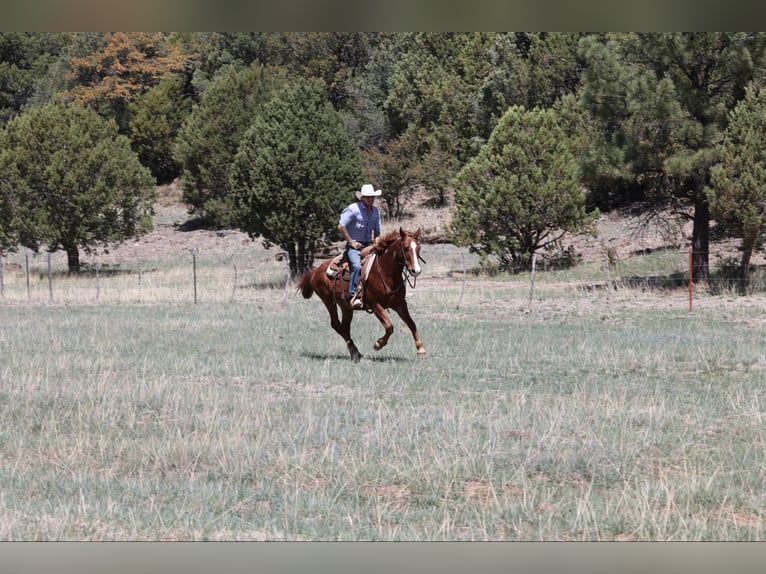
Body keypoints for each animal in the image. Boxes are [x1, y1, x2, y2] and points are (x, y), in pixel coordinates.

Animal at [297, 227, 428, 361]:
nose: (416, 270)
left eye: (418, 247)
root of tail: (315, 271)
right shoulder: (375, 305)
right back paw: (355, 352)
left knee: (344, 327)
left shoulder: (400, 304)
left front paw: (421, 350)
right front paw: (378, 344)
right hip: (328, 302)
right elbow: (389, 326)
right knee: (336, 325)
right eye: (406, 247)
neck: (385, 272)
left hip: (346, 306)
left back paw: (355, 352)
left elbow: (411, 323)